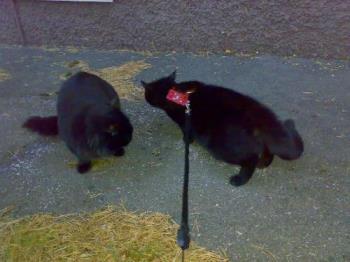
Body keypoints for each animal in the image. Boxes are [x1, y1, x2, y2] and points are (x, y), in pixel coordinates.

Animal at [142, 71, 304, 186]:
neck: (175, 94)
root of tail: (257, 115)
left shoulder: (184, 124)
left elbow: (187, 134)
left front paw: (186, 141)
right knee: (267, 152)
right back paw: (263, 164)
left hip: (223, 147)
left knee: (250, 160)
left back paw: (240, 179)